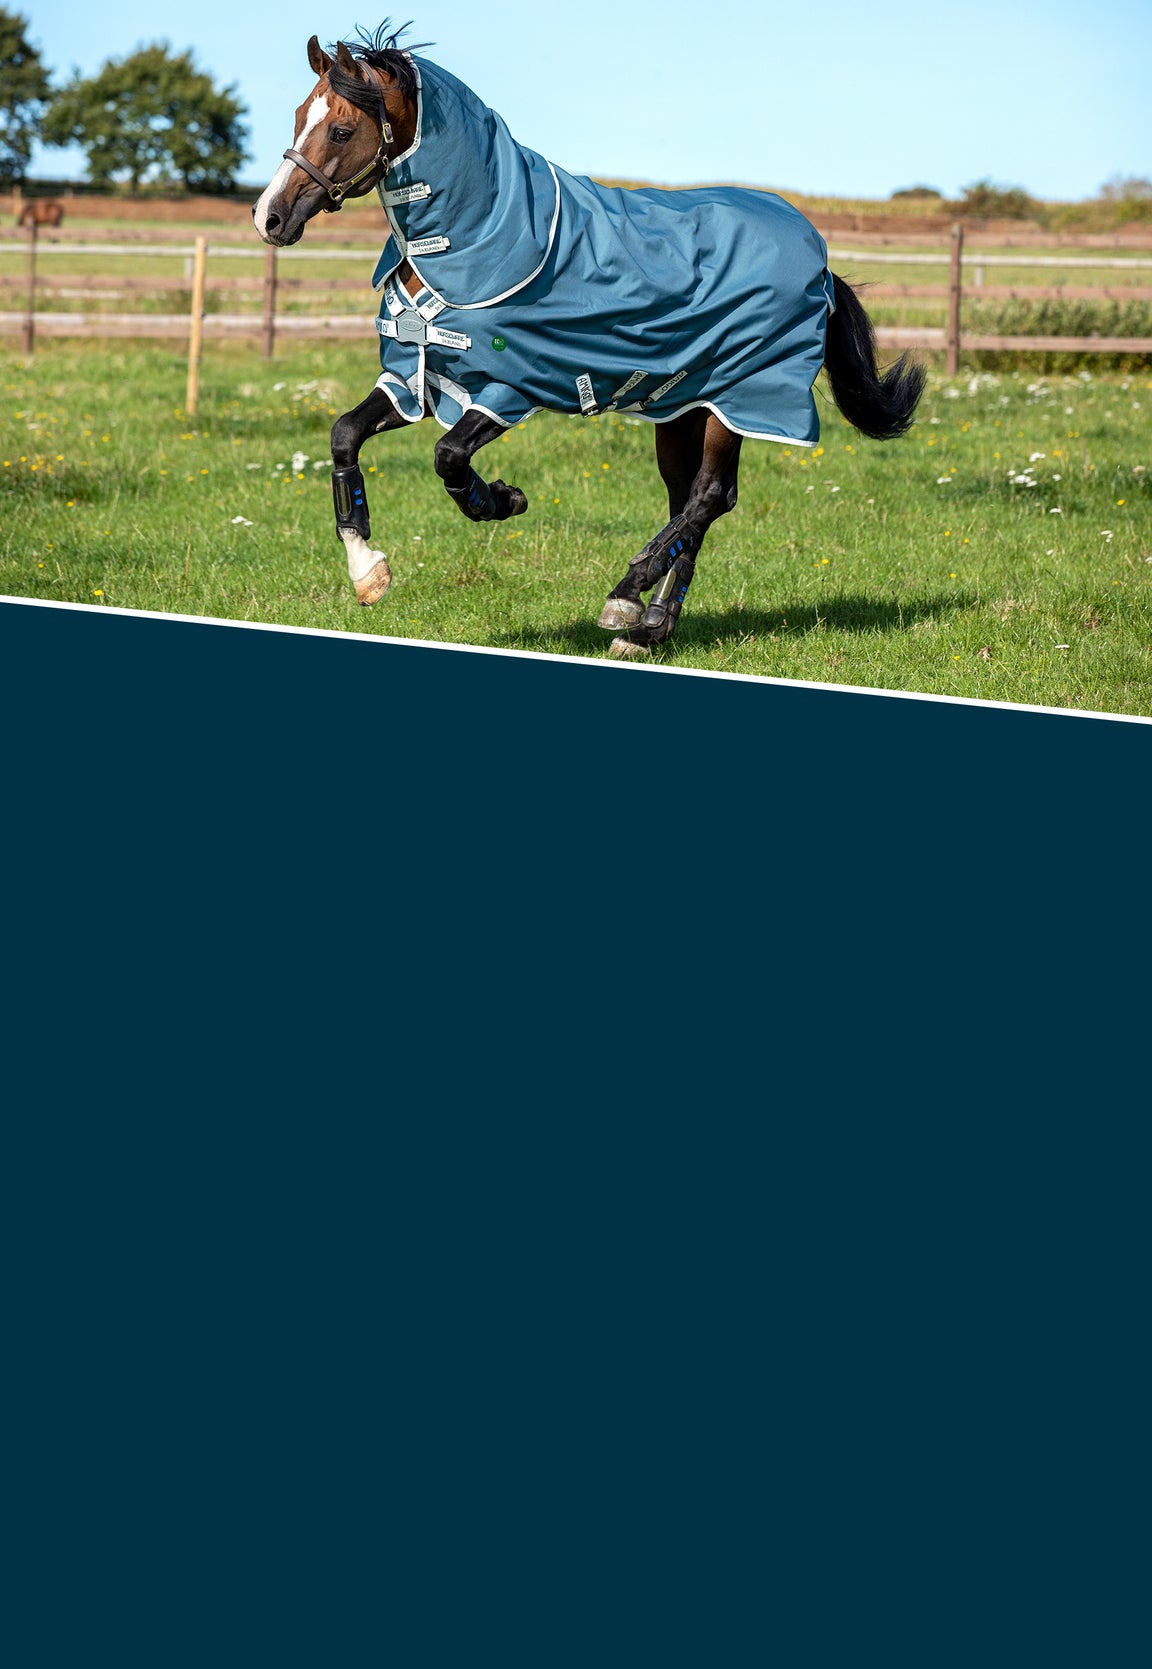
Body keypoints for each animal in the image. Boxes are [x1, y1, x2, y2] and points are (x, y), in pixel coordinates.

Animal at [253, 25, 925, 653]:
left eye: (342, 131)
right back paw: (651, 626)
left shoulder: (509, 388)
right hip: (682, 405)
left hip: (739, 399)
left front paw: (501, 500)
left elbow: (448, 456)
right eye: (298, 116)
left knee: (708, 496)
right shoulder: (416, 378)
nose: (269, 217)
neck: (480, 239)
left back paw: (628, 597)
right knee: (691, 499)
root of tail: (819, 260)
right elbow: (345, 434)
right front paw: (368, 573)